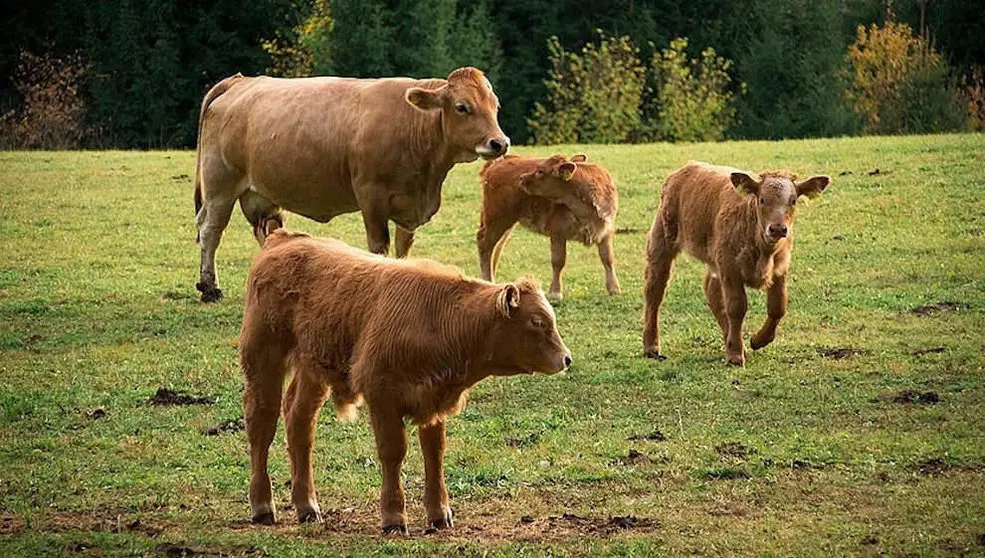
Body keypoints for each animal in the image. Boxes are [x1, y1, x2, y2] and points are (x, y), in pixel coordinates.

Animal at [193, 67, 509, 302]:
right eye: (462, 107)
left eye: (495, 106)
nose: (500, 143)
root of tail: (240, 81)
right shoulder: (372, 198)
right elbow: (379, 248)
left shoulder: (409, 206)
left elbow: (403, 248)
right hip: (220, 184)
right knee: (210, 230)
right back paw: (209, 287)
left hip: (260, 194)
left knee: (267, 231)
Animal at [240, 229, 571, 533]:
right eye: (536, 321)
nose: (566, 358)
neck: (441, 317)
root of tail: (283, 238)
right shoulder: (382, 396)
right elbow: (393, 452)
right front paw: (393, 516)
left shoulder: (434, 397)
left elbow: (434, 453)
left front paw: (439, 514)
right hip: (263, 359)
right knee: (261, 425)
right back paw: (262, 505)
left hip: (312, 369)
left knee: (300, 424)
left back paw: (307, 506)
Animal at [476, 153, 621, 300]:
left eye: (540, 171)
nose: (522, 178)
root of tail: (498, 162)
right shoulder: (557, 231)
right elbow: (558, 260)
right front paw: (555, 292)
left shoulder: (606, 231)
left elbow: (608, 258)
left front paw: (614, 289)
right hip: (496, 218)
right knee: (485, 245)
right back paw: (488, 280)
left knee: (497, 246)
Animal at [642, 161, 830, 365]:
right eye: (762, 199)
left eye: (793, 200)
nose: (778, 228)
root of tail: (685, 169)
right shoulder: (730, 269)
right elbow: (737, 308)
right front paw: (735, 354)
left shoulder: (780, 269)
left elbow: (777, 307)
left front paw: (758, 340)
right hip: (661, 241)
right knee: (654, 291)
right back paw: (651, 346)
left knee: (712, 292)